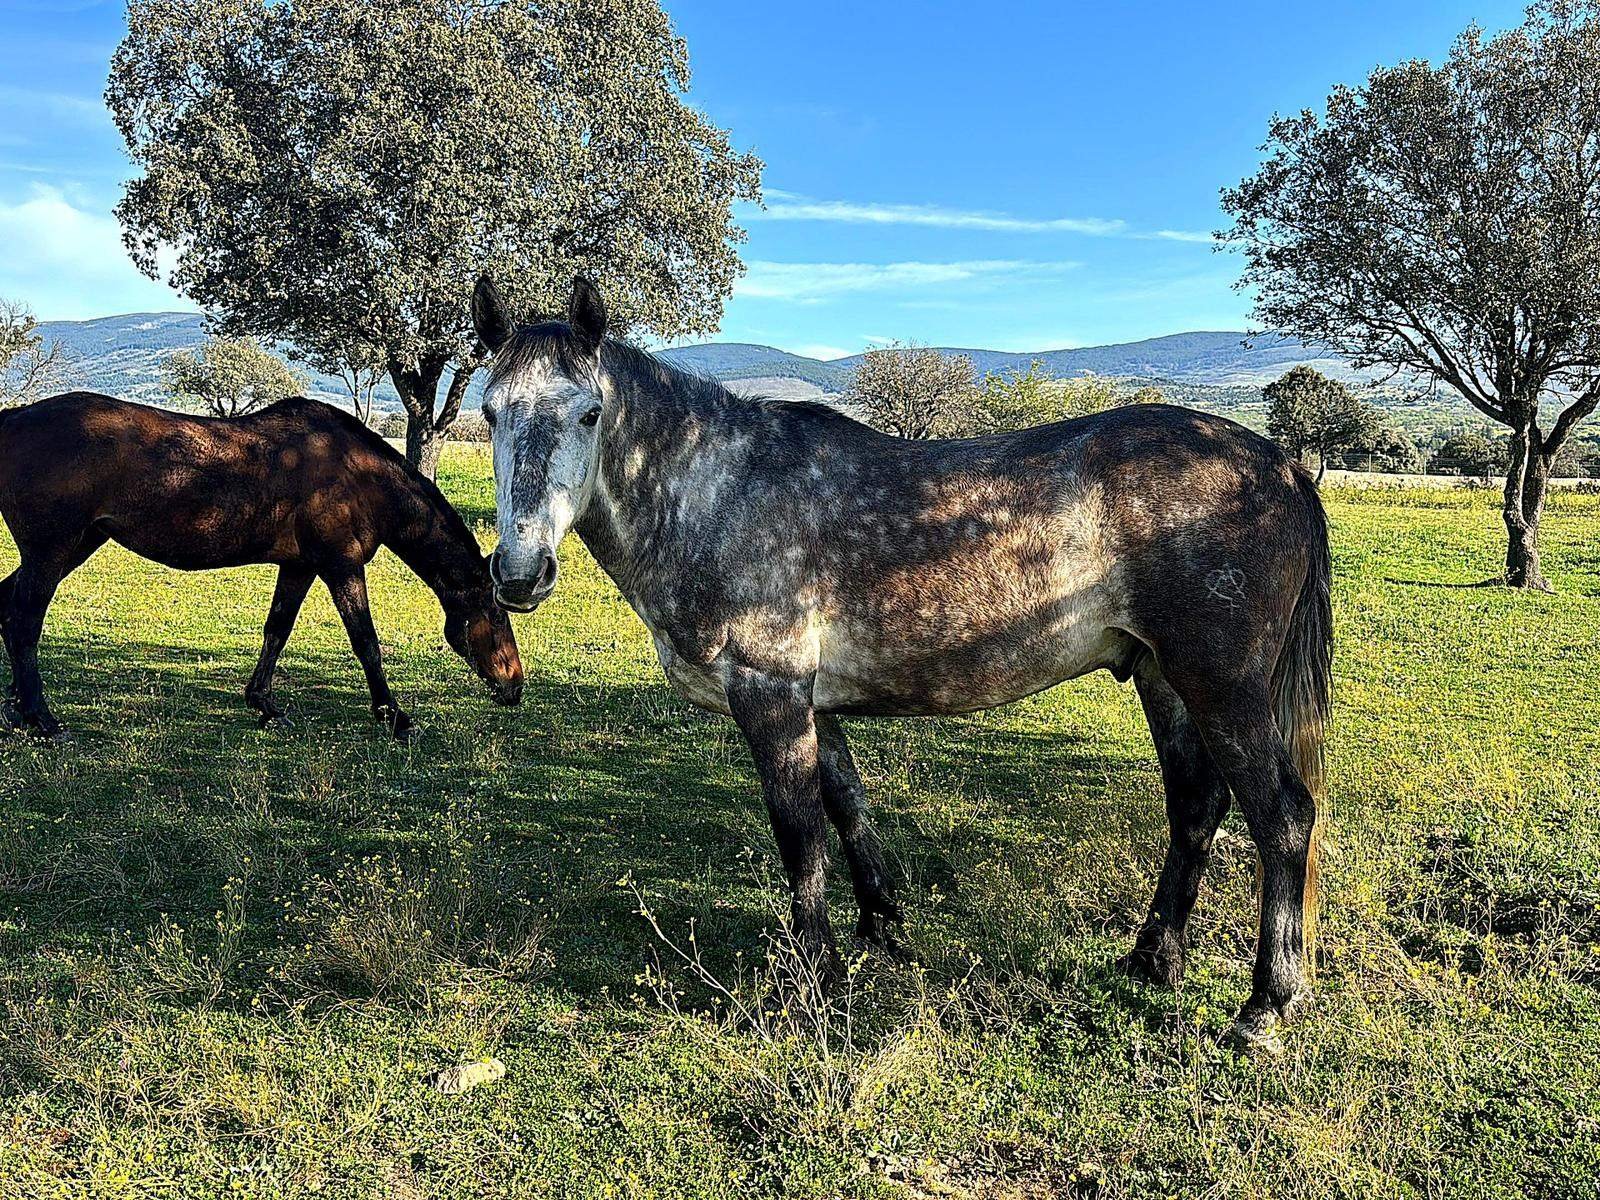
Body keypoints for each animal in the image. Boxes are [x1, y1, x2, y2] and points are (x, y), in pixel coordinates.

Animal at [0, 392, 524, 741]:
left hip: (74, 546)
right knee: (23, 620)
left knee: (8, 608)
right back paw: (42, 717)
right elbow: (366, 642)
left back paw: (16, 707)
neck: (358, 475)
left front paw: (265, 703)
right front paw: (394, 716)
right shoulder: (341, 565)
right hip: (52, 551)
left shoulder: (300, 566)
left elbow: (278, 629)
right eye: (496, 614)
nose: (515, 686)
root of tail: (15, 418)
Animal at [470, 275, 1332, 1047]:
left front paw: (812, 985)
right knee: (1196, 808)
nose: (518, 573)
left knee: (1283, 815)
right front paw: (880, 927)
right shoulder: (813, 703)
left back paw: (1264, 1006)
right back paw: (1152, 960)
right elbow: (848, 807)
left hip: (1221, 686)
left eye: (589, 412)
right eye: (489, 410)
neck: (720, 492)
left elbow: (800, 837)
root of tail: (1280, 465)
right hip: (1164, 679)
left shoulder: (770, 694)